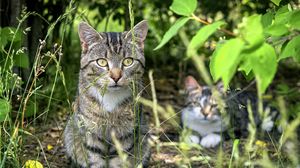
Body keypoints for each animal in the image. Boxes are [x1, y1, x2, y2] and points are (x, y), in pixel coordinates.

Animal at [64, 20, 151, 167]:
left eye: (128, 61)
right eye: (102, 62)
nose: (116, 76)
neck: (111, 98)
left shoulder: (126, 134)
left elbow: (119, 160)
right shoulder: (91, 132)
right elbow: (95, 159)